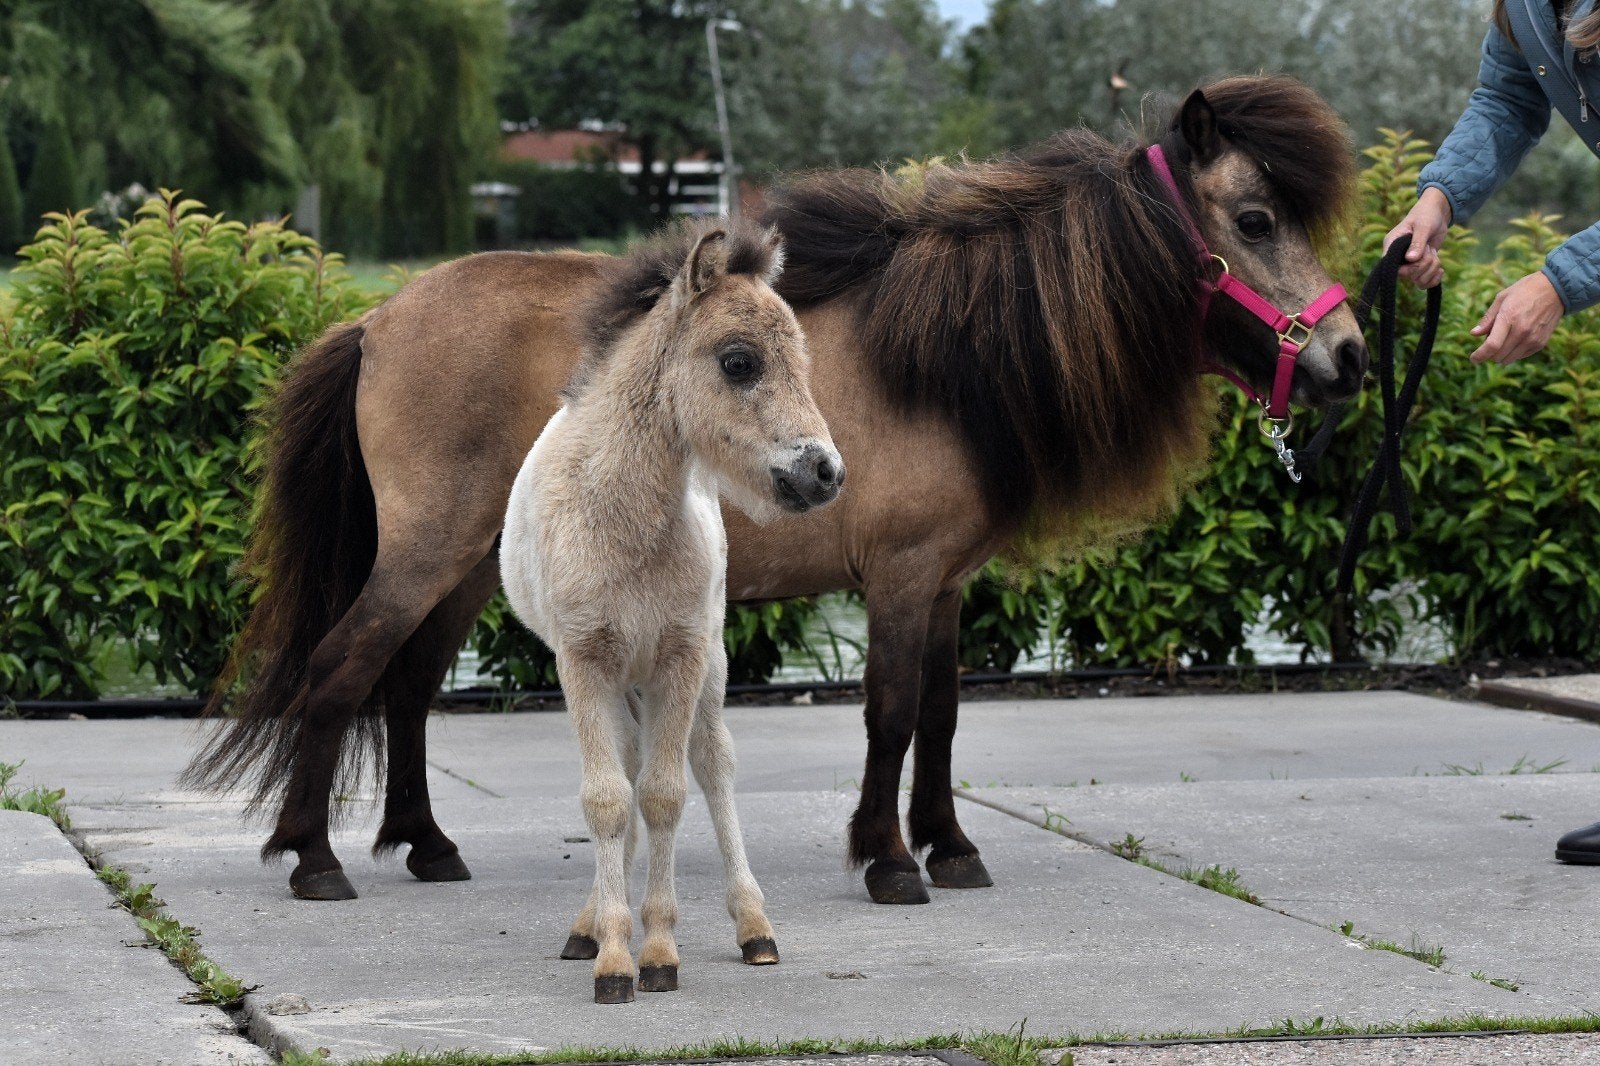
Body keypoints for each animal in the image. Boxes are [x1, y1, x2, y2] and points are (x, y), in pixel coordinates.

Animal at [183, 76, 1367, 908]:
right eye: (1254, 219)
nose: (1351, 356)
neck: (944, 349)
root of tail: (377, 317)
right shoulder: (898, 580)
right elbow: (891, 712)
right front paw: (888, 861)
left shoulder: (944, 585)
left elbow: (942, 716)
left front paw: (950, 844)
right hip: (426, 552)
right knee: (341, 670)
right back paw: (314, 859)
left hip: (471, 568)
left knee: (408, 686)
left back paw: (427, 844)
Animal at [499, 219, 843, 1003]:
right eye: (739, 362)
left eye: (803, 361)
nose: (826, 472)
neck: (622, 518)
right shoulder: (582, 659)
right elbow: (607, 799)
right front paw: (612, 955)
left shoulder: (681, 656)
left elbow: (664, 794)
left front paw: (656, 951)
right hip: (625, 676)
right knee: (626, 767)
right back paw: (591, 922)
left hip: (706, 664)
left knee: (712, 766)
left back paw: (753, 926)